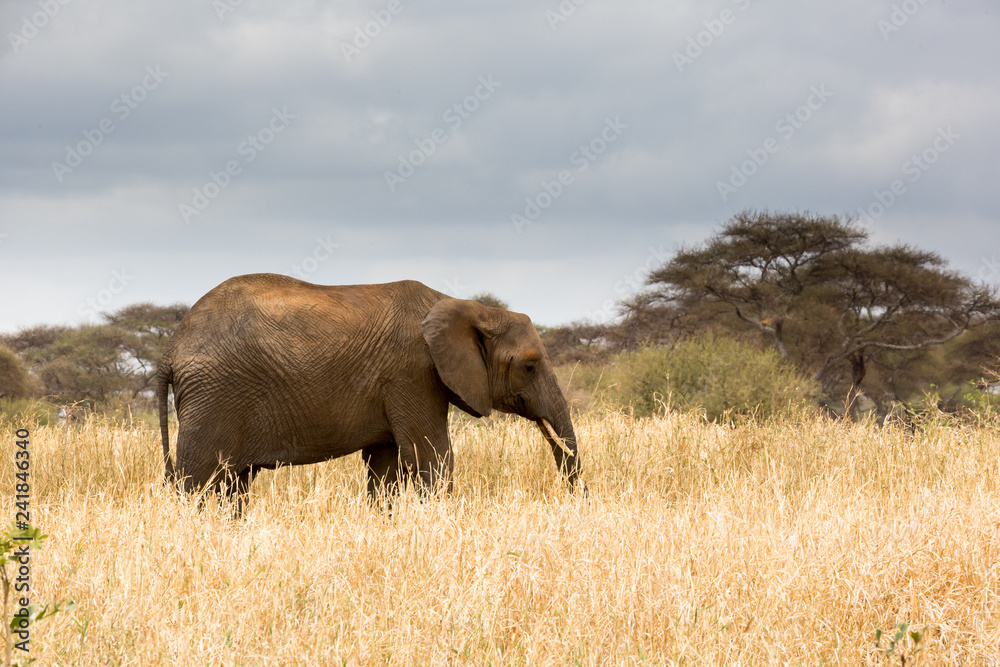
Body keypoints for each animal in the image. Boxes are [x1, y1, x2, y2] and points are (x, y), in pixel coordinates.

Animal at [152, 272, 584, 512]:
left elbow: (385, 466)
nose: (576, 500)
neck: (465, 306)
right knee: (197, 480)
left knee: (233, 485)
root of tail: (170, 350)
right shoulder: (413, 373)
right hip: (214, 397)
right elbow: (431, 457)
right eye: (530, 366)